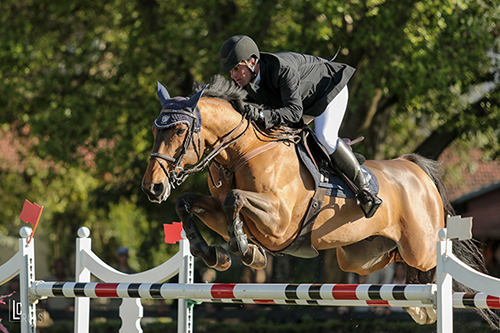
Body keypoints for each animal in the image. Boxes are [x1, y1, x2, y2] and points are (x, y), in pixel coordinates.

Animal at [143, 74, 498, 326]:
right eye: (155, 130)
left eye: (179, 131)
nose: (153, 188)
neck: (242, 153)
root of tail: (413, 166)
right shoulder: (225, 209)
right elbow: (188, 202)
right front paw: (214, 255)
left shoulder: (280, 223)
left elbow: (234, 199)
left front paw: (248, 252)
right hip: (360, 256)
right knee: (398, 267)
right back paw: (419, 306)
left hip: (421, 247)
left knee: (436, 268)